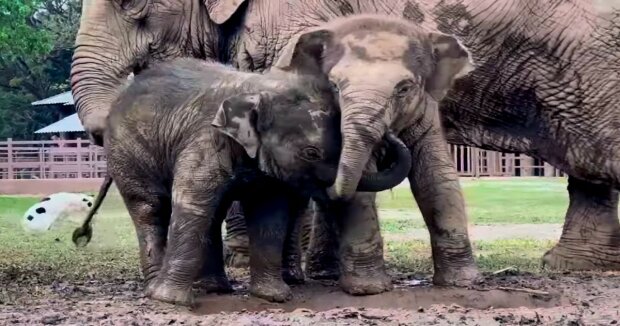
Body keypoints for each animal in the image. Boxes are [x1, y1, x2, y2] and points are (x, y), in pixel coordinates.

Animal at [74, 58, 412, 306]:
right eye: (311, 153)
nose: (388, 134)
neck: (259, 89)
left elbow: (269, 214)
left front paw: (274, 297)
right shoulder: (206, 140)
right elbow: (192, 204)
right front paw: (172, 302)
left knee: (212, 214)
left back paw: (214, 289)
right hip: (128, 153)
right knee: (149, 209)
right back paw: (156, 288)